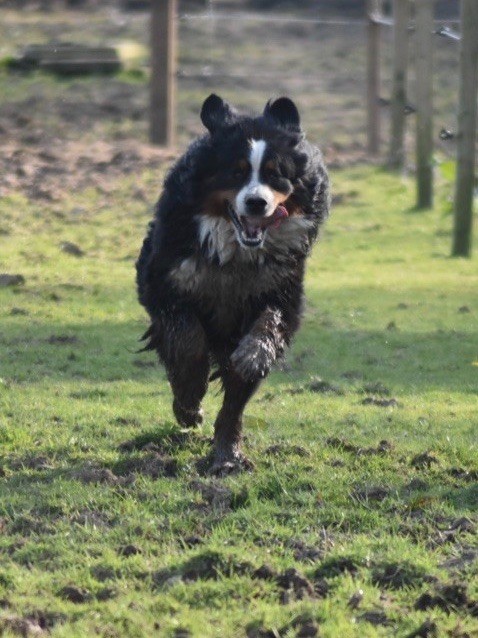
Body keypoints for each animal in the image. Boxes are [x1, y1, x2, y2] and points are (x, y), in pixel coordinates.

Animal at [134, 94, 328, 476]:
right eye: (236, 172)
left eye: (276, 174)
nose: (256, 202)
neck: (236, 254)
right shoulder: (166, 279)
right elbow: (186, 339)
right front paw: (190, 400)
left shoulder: (280, 285)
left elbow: (267, 330)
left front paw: (252, 357)